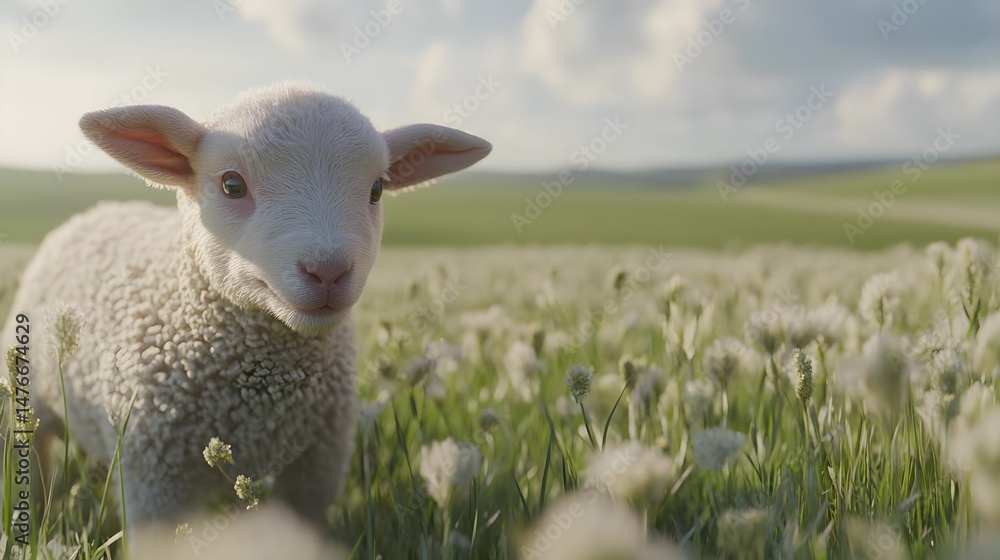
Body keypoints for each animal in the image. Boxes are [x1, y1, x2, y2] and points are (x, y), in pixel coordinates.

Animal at [2, 82, 491, 530]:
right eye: (232, 185)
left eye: (377, 189)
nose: (328, 272)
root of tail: (97, 209)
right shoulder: (151, 478)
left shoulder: (318, 468)